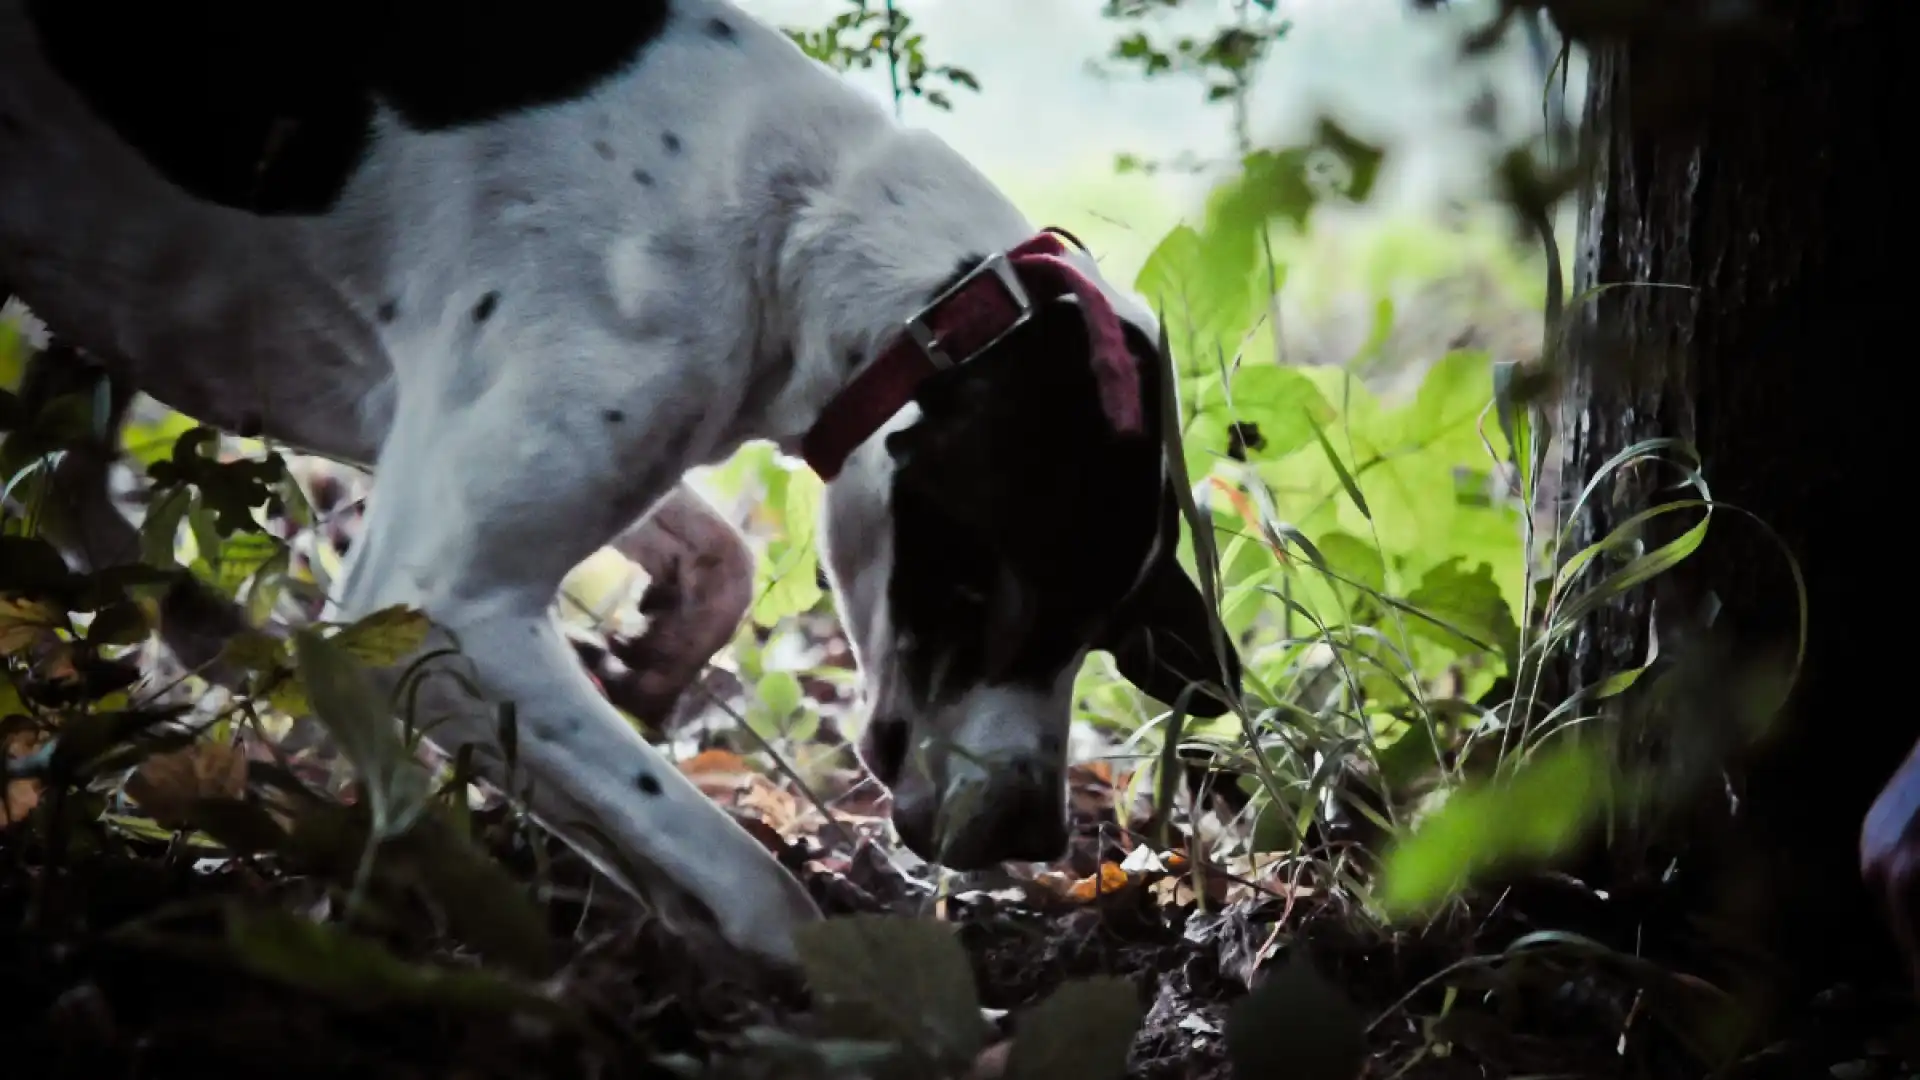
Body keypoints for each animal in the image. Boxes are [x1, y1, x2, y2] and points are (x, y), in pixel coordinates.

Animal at [0, 0, 1236, 957]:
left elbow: (719, 564)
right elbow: (754, 890)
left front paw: (650, 666)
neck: (788, 214)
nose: (1034, 835)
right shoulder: (438, 601)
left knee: (67, 481)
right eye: (988, 593)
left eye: (1105, 625)